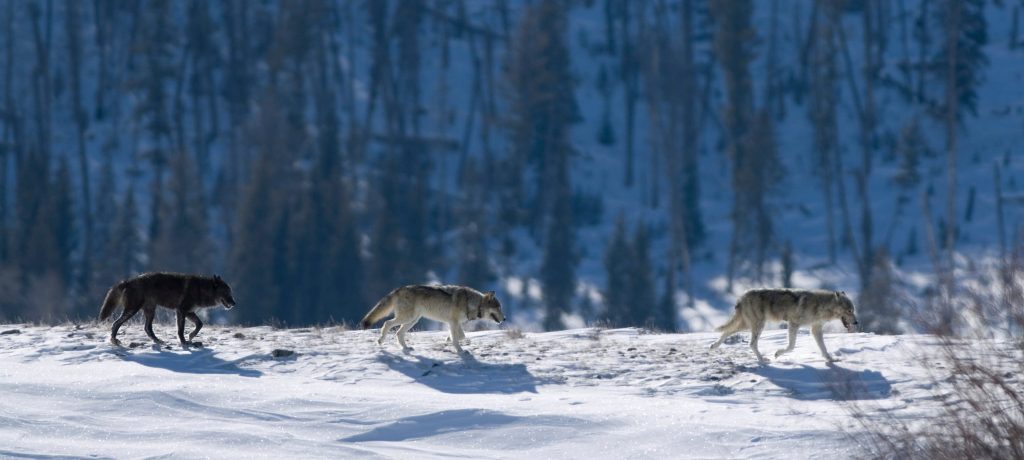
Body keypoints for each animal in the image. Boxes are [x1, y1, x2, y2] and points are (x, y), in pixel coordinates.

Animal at [99, 272, 235, 348]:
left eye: (231, 293)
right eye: (227, 293)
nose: (234, 303)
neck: (200, 289)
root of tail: (127, 281)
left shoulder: (189, 312)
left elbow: (200, 324)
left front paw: (191, 337)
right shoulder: (181, 311)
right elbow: (181, 330)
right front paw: (184, 342)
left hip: (150, 311)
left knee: (147, 328)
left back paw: (158, 341)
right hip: (132, 310)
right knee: (116, 323)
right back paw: (114, 341)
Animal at [362, 284, 505, 352]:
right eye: (498, 307)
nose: (505, 318)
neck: (472, 303)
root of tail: (398, 289)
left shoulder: (454, 323)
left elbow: (461, 336)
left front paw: (448, 339)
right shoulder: (453, 322)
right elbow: (458, 338)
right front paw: (460, 351)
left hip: (412, 320)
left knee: (398, 333)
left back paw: (406, 348)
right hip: (407, 318)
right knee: (387, 323)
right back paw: (381, 341)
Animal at [708, 288, 851, 360]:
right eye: (849, 311)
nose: (855, 321)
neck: (821, 306)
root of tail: (741, 297)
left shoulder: (815, 329)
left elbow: (823, 348)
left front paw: (830, 359)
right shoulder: (793, 324)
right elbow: (791, 346)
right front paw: (777, 353)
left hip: (747, 325)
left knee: (727, 331)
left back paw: (714, 346)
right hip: (757, 326)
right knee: (751, 344)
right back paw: (762, 360)